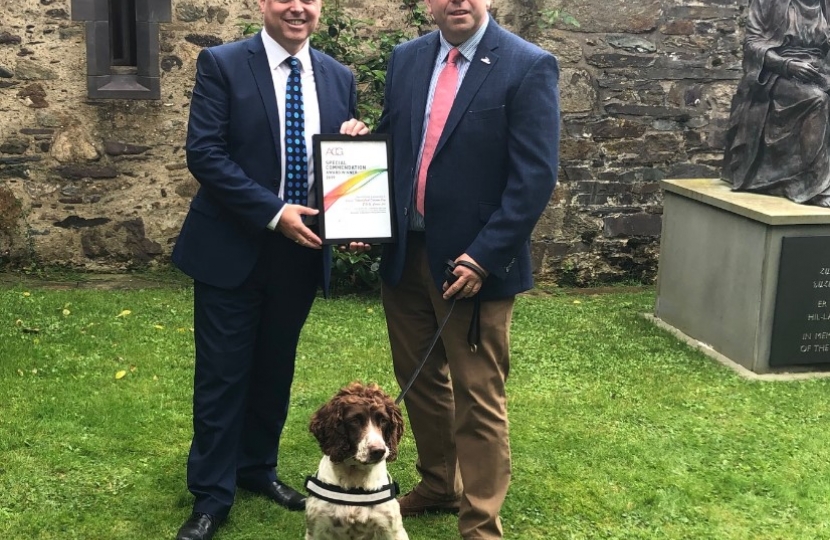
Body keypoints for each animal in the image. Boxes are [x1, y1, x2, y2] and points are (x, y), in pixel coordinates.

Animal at [306, 382, 410, 540]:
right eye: (354, 421)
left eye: (384, 420)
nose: (379, 451)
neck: (355, 475)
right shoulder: (317, 529)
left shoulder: (393, 530)